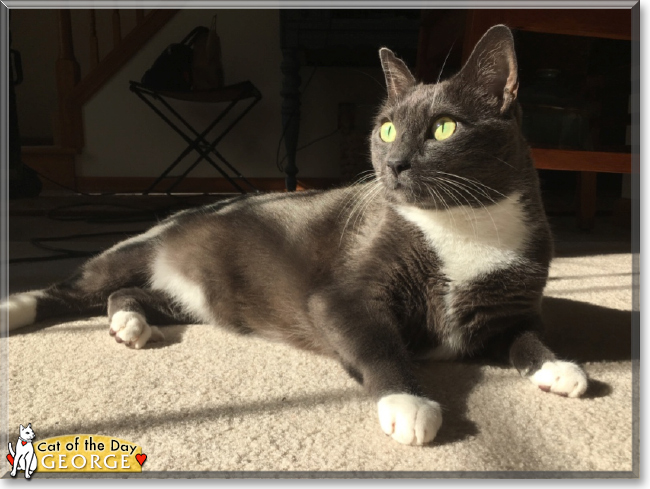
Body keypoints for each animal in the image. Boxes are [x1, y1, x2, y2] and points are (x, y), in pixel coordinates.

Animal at [1, 26, 588, 446]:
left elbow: (524, 334)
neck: (462, 225)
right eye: (387, 128)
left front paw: (559, 366)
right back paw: (17, 308)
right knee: (76, 288)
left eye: (445, 127)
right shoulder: (345, 295)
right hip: (139, 249)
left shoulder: (510, 301)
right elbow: (376, 340)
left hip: (198, 299)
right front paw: (408, 403)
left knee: (130, 294)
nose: (393, 163)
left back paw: (129, 323)